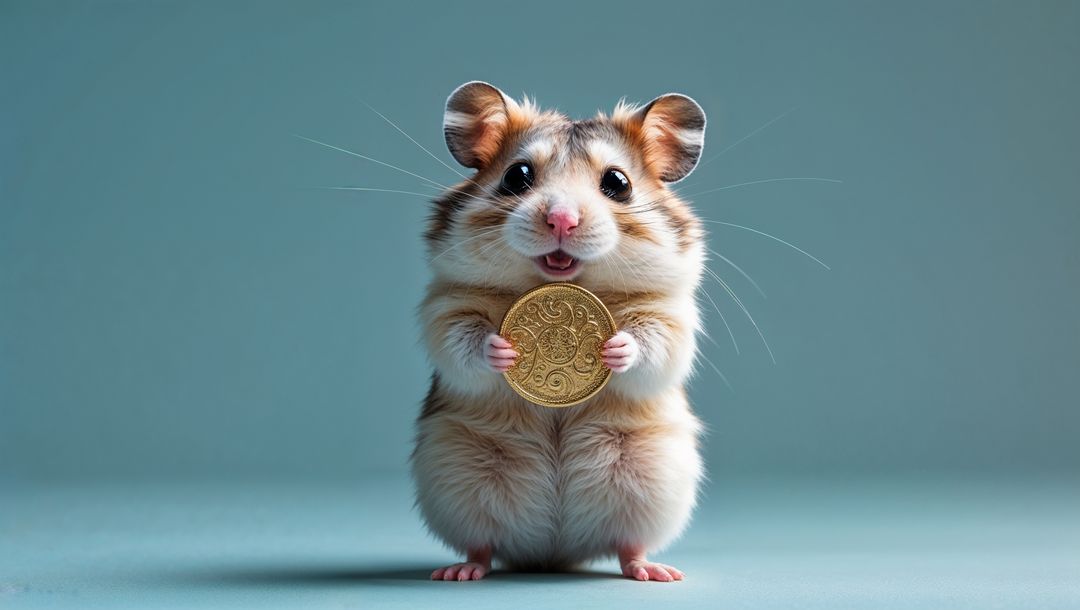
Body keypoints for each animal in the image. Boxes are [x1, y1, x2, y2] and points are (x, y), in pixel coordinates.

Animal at [412, 81, 707, 582]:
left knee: (629, 543)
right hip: (459, 478)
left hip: (651, 481)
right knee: (481, 542)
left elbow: (653, 343)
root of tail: (553, 551)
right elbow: (463, 340)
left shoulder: (671, 313)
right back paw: (460, 571)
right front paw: (503, 349)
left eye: (618, 183)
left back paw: (655, 572)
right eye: (517, 176)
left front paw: (614, 348)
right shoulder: (446, 305)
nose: (562, 220)